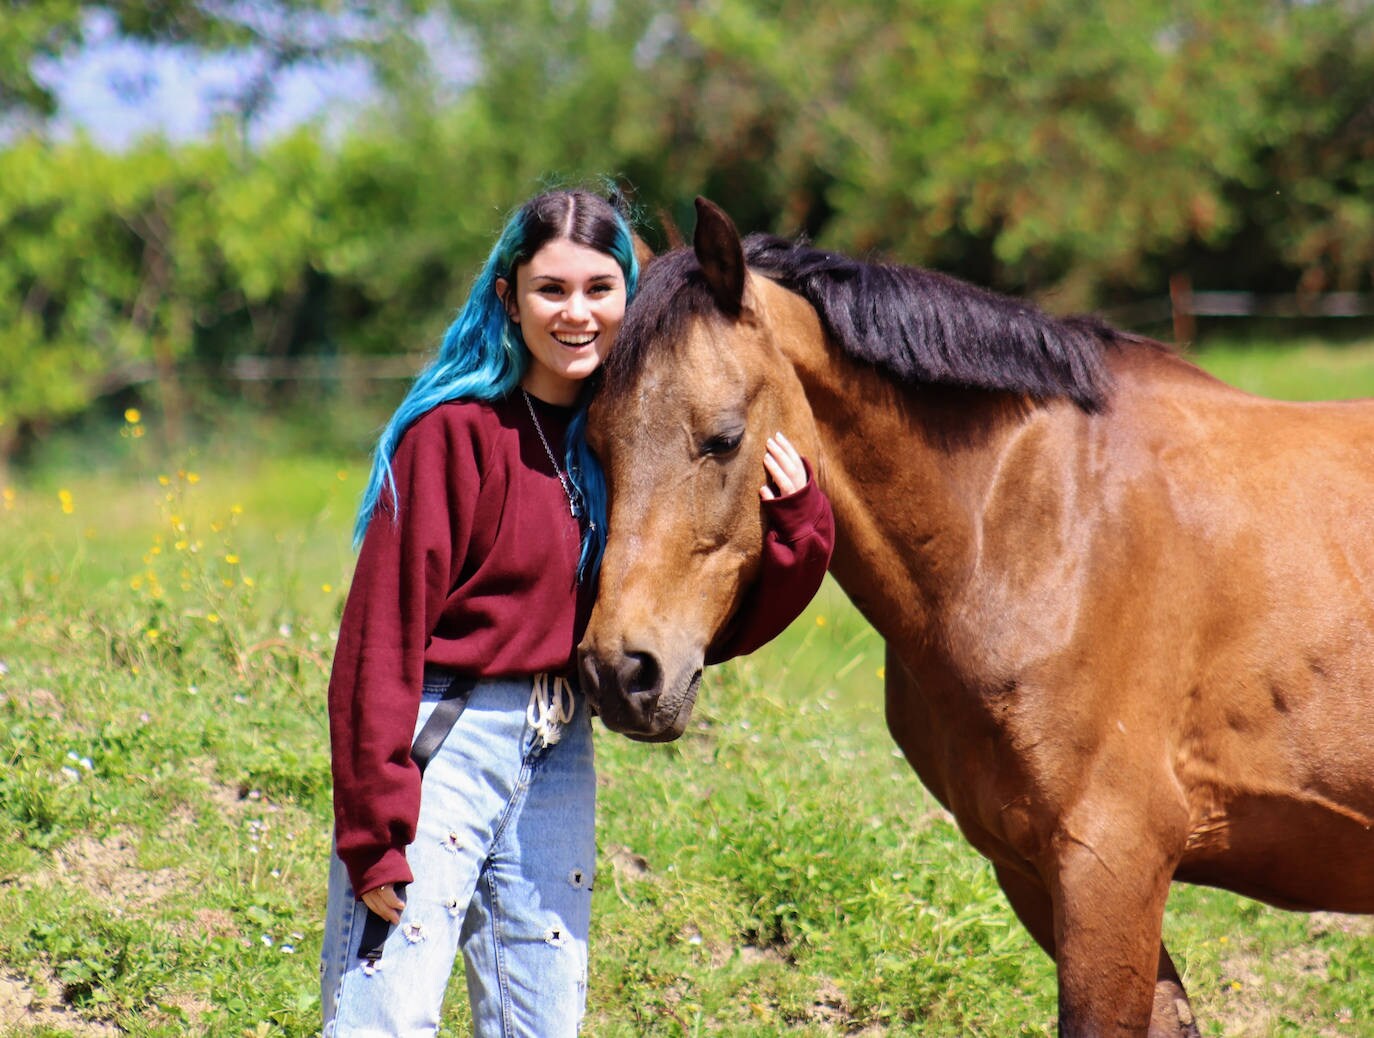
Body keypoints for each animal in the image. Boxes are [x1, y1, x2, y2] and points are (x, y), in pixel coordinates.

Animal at [577, 199, 1374, 1033]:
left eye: (724, 438)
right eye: (592, 441)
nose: (621, 672)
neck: (1037, 524)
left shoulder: (1112, 868)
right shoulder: (1036, 874)